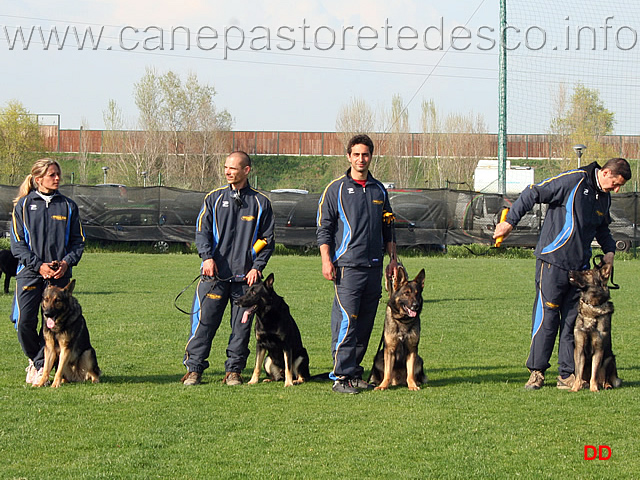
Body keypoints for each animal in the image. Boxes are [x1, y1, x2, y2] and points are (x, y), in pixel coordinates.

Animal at [568, 260, 620, 392]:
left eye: (587, 273)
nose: (570, 271)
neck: (592, 307)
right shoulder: (579, 349)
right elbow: (578, 373)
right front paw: (575, 388)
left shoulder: (599, 350)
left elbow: (595, 373)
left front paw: (594, 389)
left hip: (609, 359)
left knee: (605, 378)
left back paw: (606, 386)